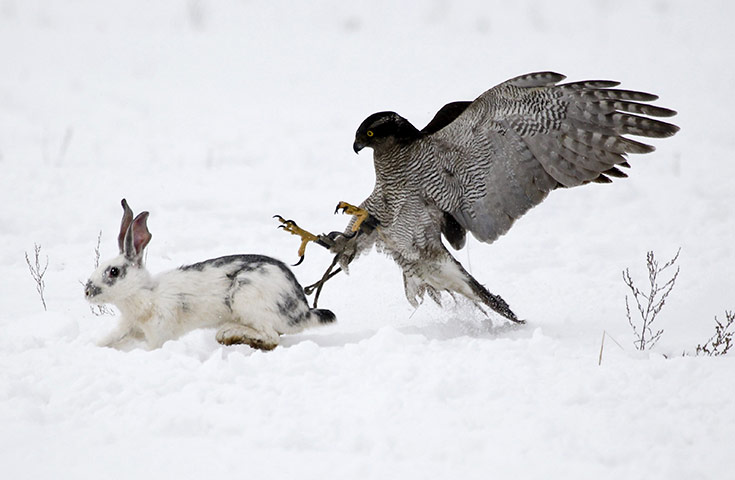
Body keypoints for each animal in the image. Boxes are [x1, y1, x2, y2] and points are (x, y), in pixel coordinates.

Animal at [84, 199, 336, 351]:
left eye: (113, 271)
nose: (87, 292)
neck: (145, 294)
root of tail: (302, 311)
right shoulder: (128, 328)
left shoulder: (159, 331)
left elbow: (154, 346)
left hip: (247, 299)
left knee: (271, 337)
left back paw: (230, 335)